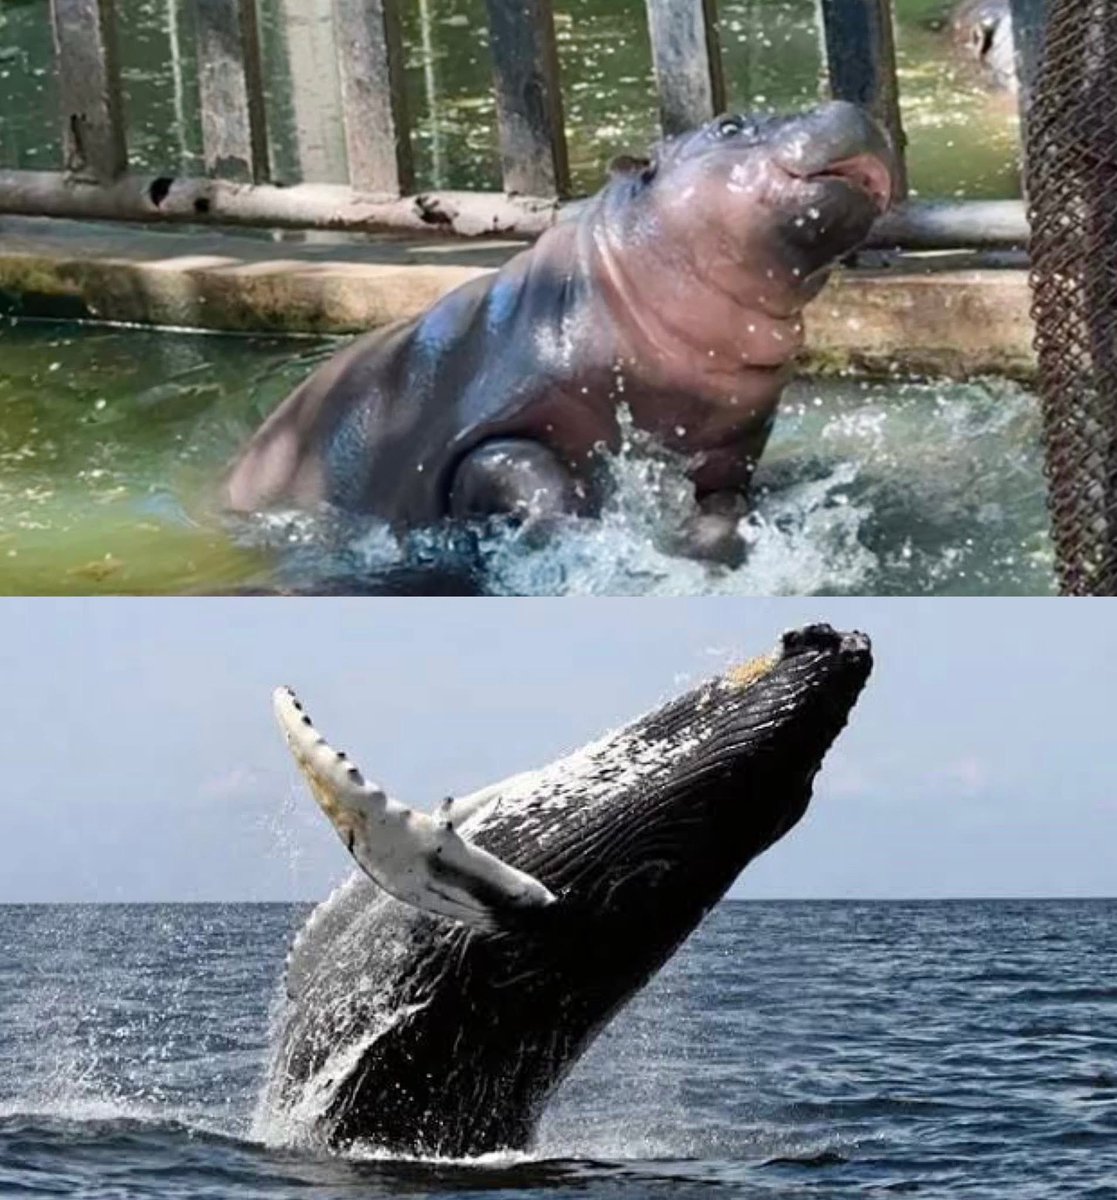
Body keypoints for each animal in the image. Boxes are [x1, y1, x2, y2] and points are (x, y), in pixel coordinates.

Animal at [226, 102, 894, 567]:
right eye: (728, 125)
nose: (850, 106)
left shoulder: (732, 446)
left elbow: (722, 505)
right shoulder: (484, 429)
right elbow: (524, 467)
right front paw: (573, 535)